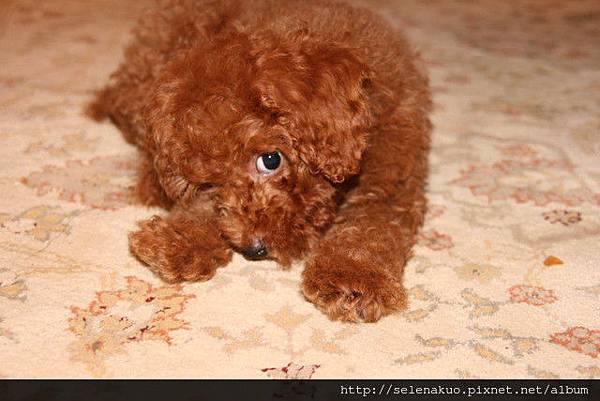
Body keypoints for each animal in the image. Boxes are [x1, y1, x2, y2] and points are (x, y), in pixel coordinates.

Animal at [88, 0, 432, 320]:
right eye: (209, 183)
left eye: (270, 159)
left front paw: (353, 277)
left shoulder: (393, 174)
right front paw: (181, 239)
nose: (254, 249)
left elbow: (370, 224)